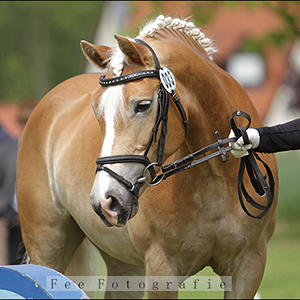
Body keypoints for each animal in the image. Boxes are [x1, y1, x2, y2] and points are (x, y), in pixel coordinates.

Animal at [17, 15, 278, 298]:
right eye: (96, 110)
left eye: (143, 105)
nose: (105, 201)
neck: (217, 179)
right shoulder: (162, 270)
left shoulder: (248, 267)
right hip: (47, 246)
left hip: (124, 266)